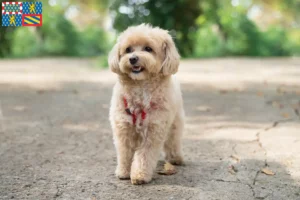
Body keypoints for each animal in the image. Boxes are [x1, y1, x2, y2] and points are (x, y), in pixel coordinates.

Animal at [108, 23, 183, 184]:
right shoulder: (123, 128)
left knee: (173, 140)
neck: (141, 87)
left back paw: (176, 158)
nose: (133, 59)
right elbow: (124, 152)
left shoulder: (153, 130)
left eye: (148, 48)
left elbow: (144, 155)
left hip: (175, 122)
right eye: (128, 49)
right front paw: (123, 171)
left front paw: (139, 175)